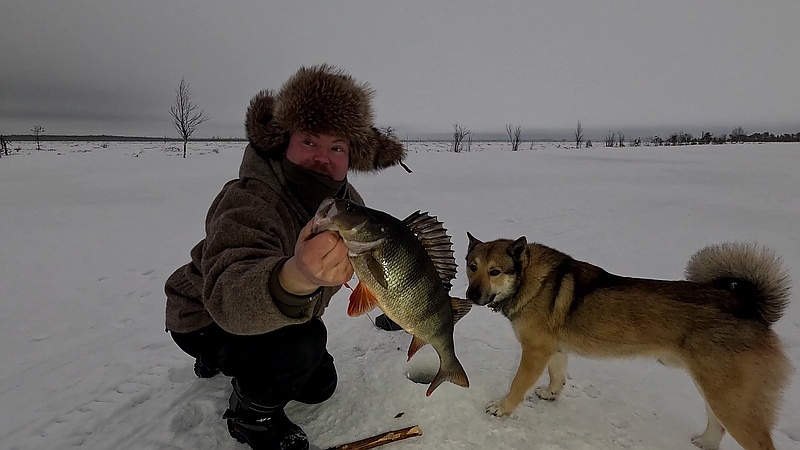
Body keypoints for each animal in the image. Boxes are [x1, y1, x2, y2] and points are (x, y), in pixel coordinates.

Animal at [466, 236, 792, 450]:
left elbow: (518, 384)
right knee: (716, 424)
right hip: (718, 390)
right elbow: (557, 375)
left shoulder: (536, 350)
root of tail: (749, 306)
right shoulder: (553, 348)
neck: (528, 279)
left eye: (495, 271)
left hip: (731, 400)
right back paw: (703, 442)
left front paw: (503, 408)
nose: (470, 295)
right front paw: (550, 394)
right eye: (472, 266)